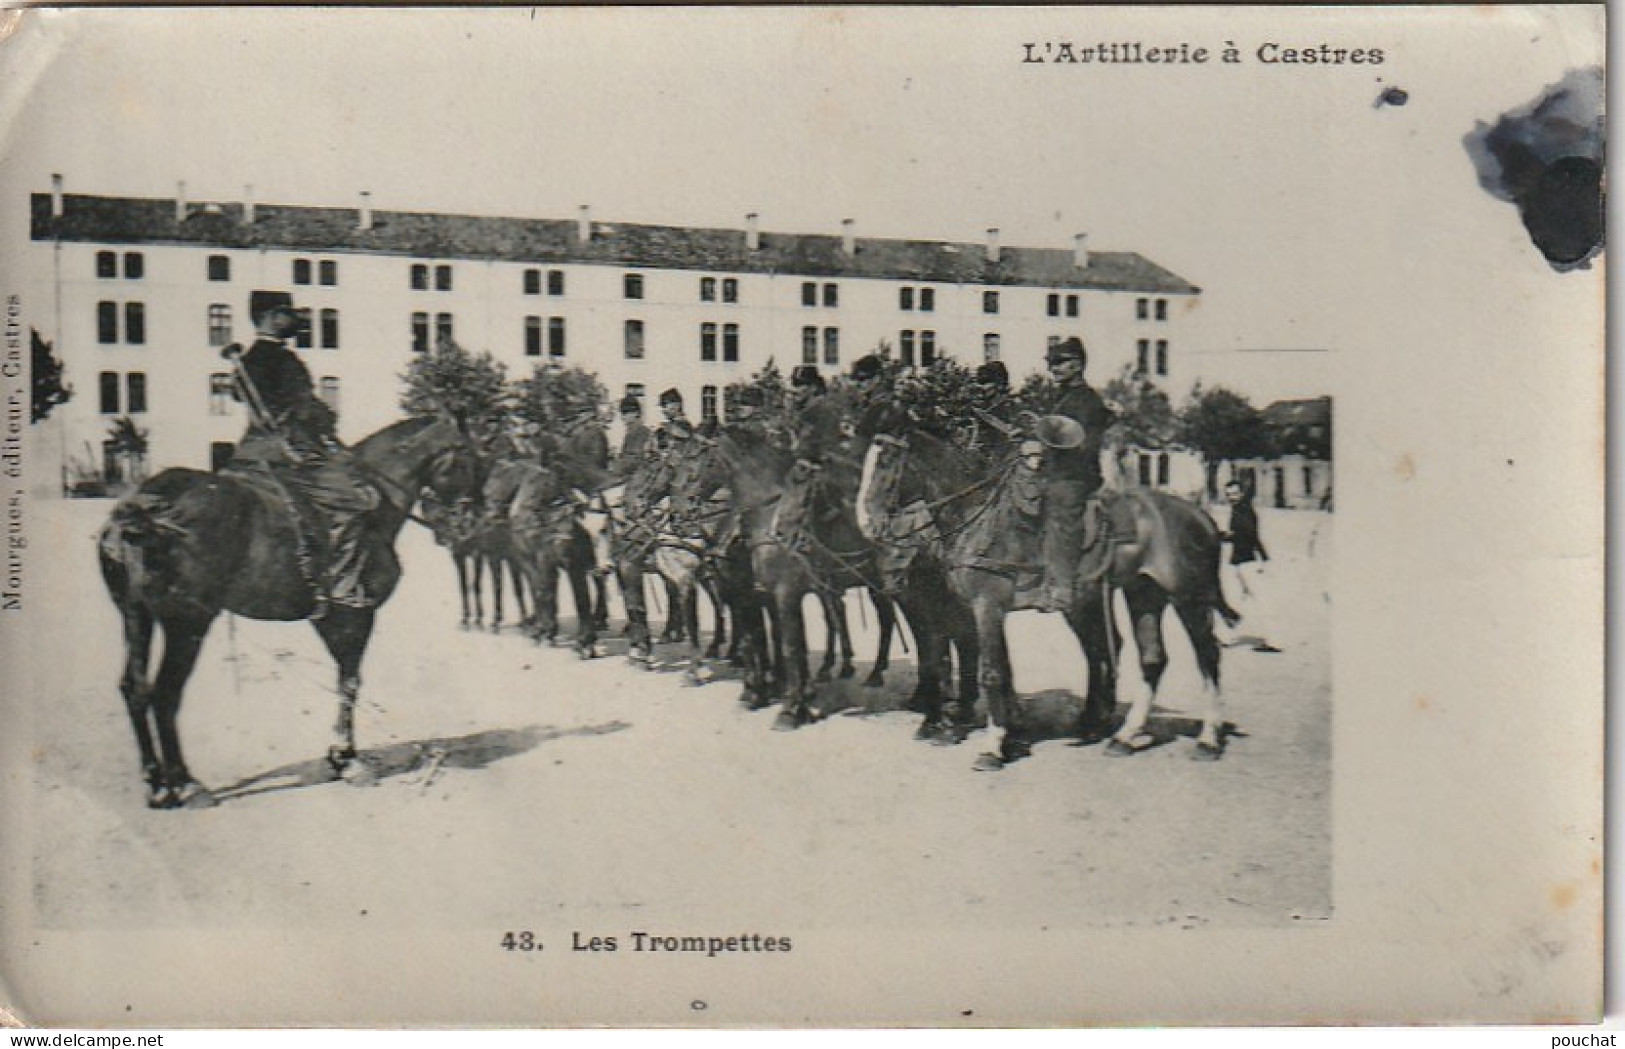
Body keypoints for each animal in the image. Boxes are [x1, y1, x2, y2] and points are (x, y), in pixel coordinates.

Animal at [99, 415, 474, 808]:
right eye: (466, 456)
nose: (467, 522)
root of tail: (142, 508)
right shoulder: (355, 614)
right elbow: (350, 682)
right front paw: (348, 758)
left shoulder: (329, 620)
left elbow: (343, 679)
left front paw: (339, 755)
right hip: (187, 623)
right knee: (165, 694)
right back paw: (185, 783)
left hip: (136, 615)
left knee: (135, 689)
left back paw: (156, 781)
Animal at [858, 428, 1235, 772]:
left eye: (885, 464)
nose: (868, 526)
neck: (976, 518)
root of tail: (1201, 516)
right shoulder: (979, 610)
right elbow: (998, 669)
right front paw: (1008, 736)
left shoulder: (987, 606)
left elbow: (990, 672)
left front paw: (992, 748)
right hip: (1143, 595)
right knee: (1151, 658)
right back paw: (1123, 736)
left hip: (1188, 598)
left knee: (1208, 655)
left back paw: (1207, 740)